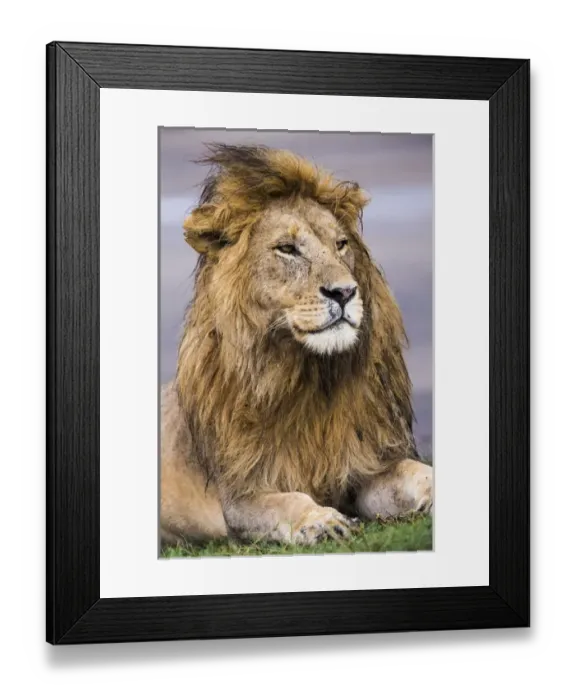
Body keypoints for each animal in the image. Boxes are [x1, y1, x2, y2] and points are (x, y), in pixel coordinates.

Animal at [160, 143, 433, 547]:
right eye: (287, 249)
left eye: (341, 244)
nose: (345, 292)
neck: (309, 379)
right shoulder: (240, 496)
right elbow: (288, 501)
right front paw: (321, 520)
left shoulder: (362, 467)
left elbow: (415, 470)